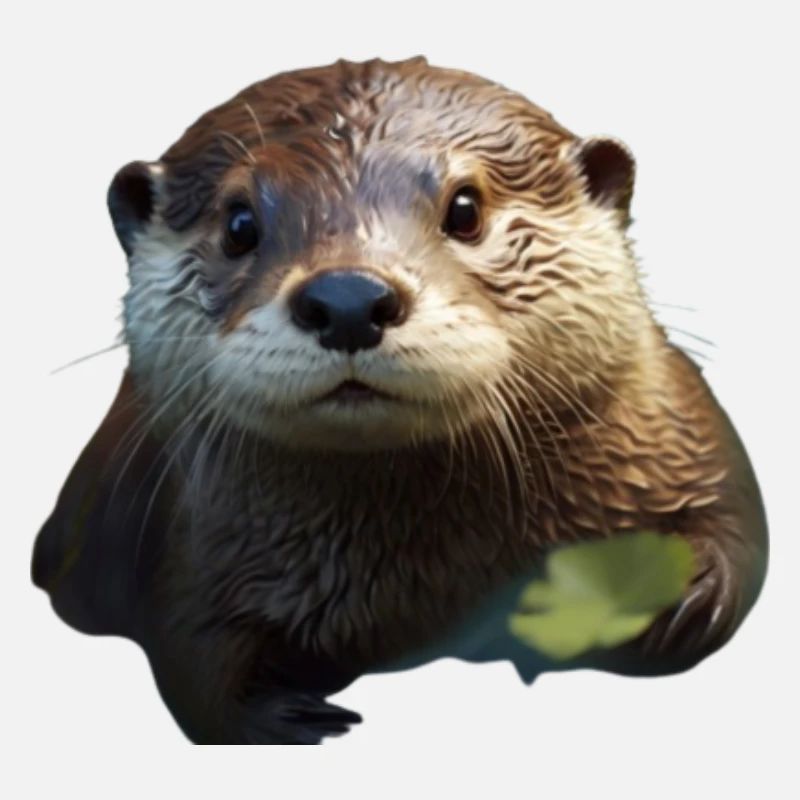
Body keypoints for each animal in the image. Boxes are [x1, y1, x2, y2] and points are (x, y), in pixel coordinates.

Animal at [32, 57, 768, 744]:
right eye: (239, 223)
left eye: (466, 209)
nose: (348, 298)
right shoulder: (191, 546)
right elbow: (194, 666)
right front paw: (289, 714)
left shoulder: (679, 433)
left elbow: (742, 539)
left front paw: (680, 598)